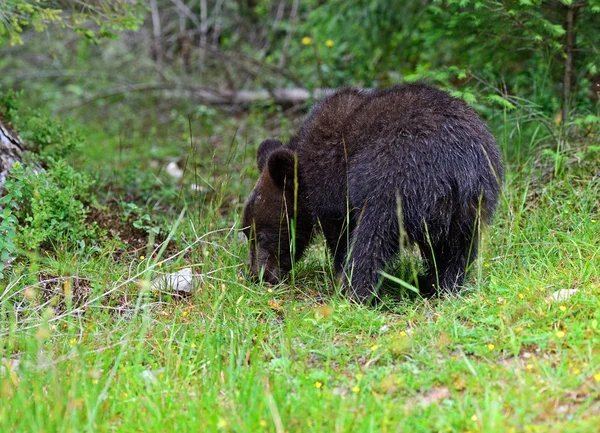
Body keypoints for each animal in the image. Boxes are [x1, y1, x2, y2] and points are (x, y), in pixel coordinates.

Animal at [241, 82, 504, 302]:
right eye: (246, 233)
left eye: (261, 235)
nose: (257, 275)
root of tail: (457, 165)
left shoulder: (332, 184)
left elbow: (341, 234)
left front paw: (339, 273)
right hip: (472, 204)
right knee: (458, 249)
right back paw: (439, 286)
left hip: (395, 181)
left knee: (372, 237)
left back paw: (354, 292)